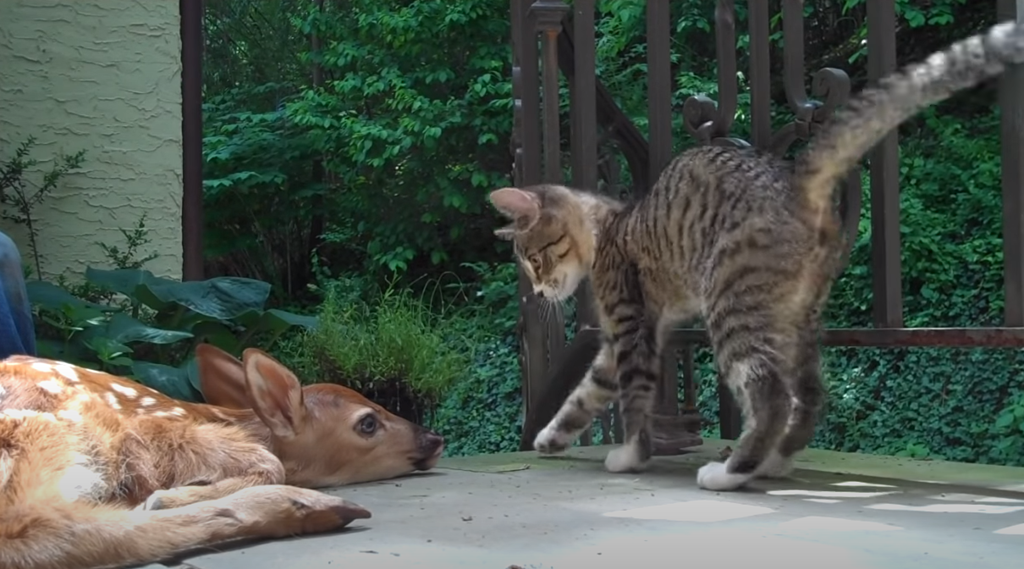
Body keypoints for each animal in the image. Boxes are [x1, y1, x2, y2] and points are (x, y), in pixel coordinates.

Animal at [487, 22, 1024, 491]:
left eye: (533, 259)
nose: (539, 292)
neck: (606, 225)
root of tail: (797, 185)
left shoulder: (631, 324)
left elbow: (633, 398)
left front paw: (631, 456)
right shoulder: (627, 334)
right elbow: (588, 391)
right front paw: (551, 437)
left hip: (732, 303)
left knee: (769, 396)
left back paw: (732, 472)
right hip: (793, 317)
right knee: (809, 397)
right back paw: (772, 462)